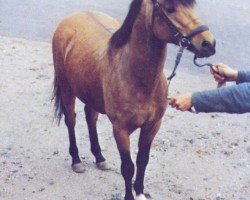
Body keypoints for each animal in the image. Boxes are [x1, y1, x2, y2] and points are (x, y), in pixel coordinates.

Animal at [52, 0, 215, 199]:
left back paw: (100, 158)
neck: (137, 78)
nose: (208, 43)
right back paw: (76, 160)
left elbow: (142, 161)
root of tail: (71, 19)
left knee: (91, 118)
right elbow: (128, 167)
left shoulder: (153, 126)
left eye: (192, 6)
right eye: (170, 8)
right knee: (71, 120)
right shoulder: (120, 130)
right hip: (67, 88)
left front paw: (140, 192)